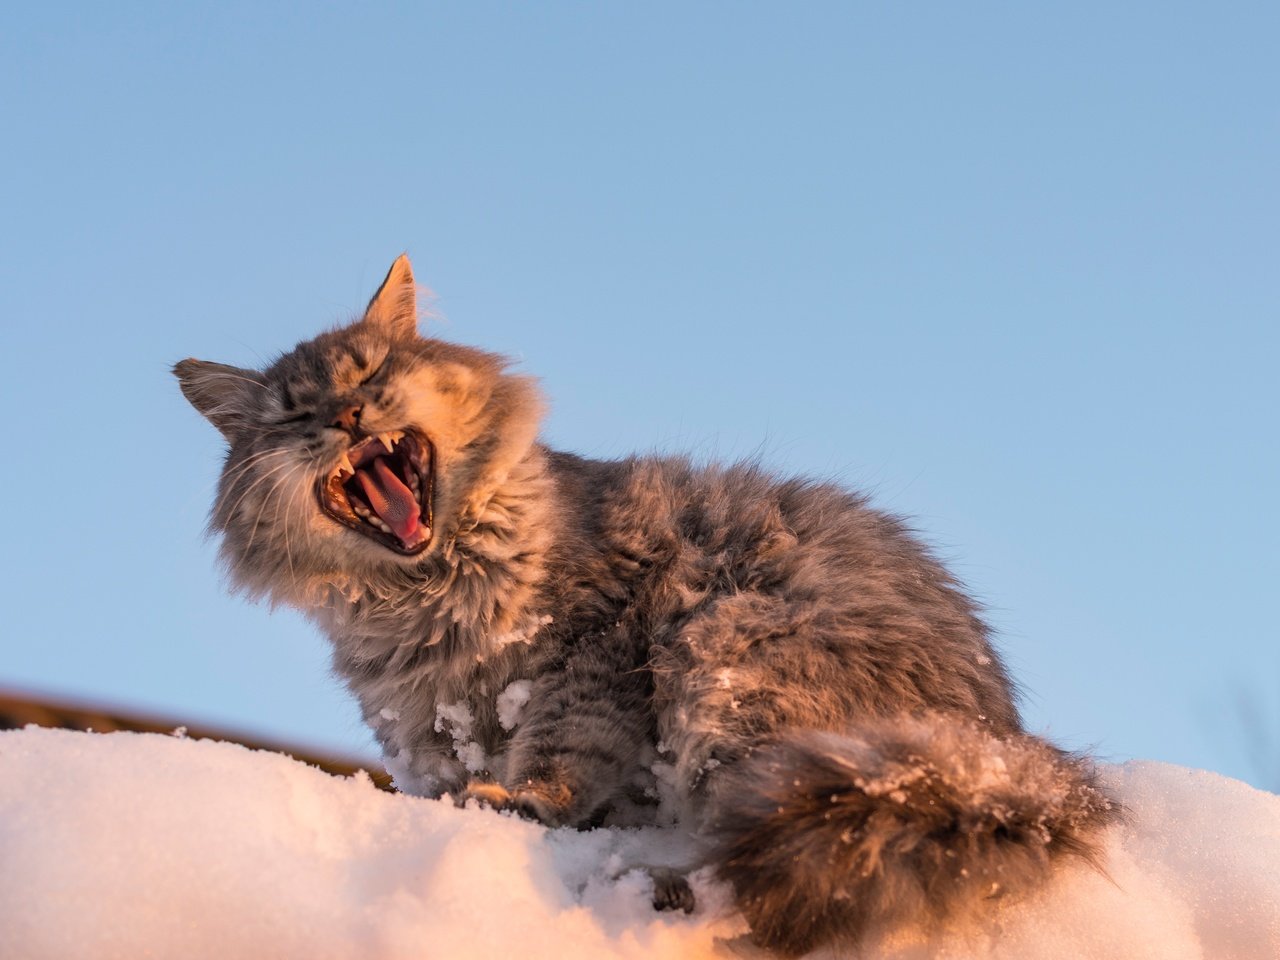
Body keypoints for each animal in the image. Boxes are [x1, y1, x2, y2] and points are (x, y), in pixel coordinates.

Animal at [177, 253, 1121, 957]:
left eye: (369, 371)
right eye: (292, 416)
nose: (344, 416)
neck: (424, 591)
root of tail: (999, 754)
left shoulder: (593, 647)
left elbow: (561, 760)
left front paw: (521, 800)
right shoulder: (418, 730)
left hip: (733, 657)